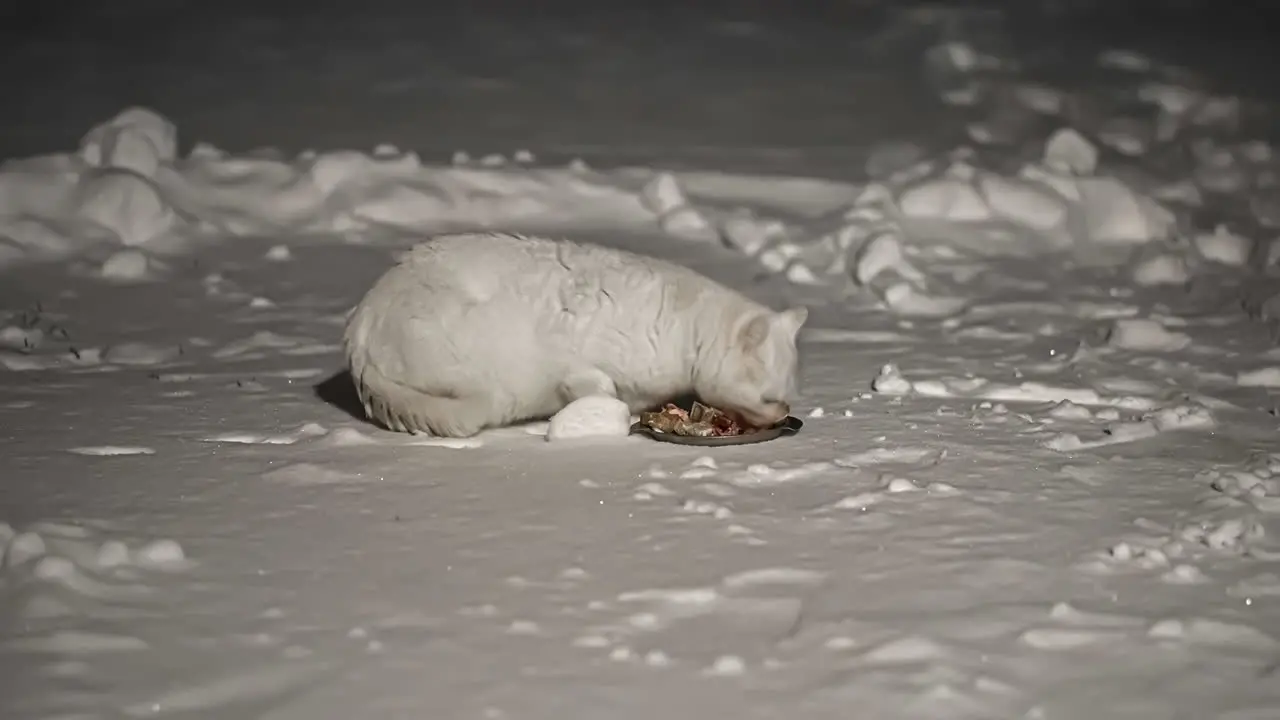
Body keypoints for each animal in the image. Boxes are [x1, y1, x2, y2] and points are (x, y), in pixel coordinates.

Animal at [345, 233, 803, 435]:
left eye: (787, 396)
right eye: (769, 398)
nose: (781, 415)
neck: (682, 326)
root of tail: (358, 329)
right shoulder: (576, 359)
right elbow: (603, 390)